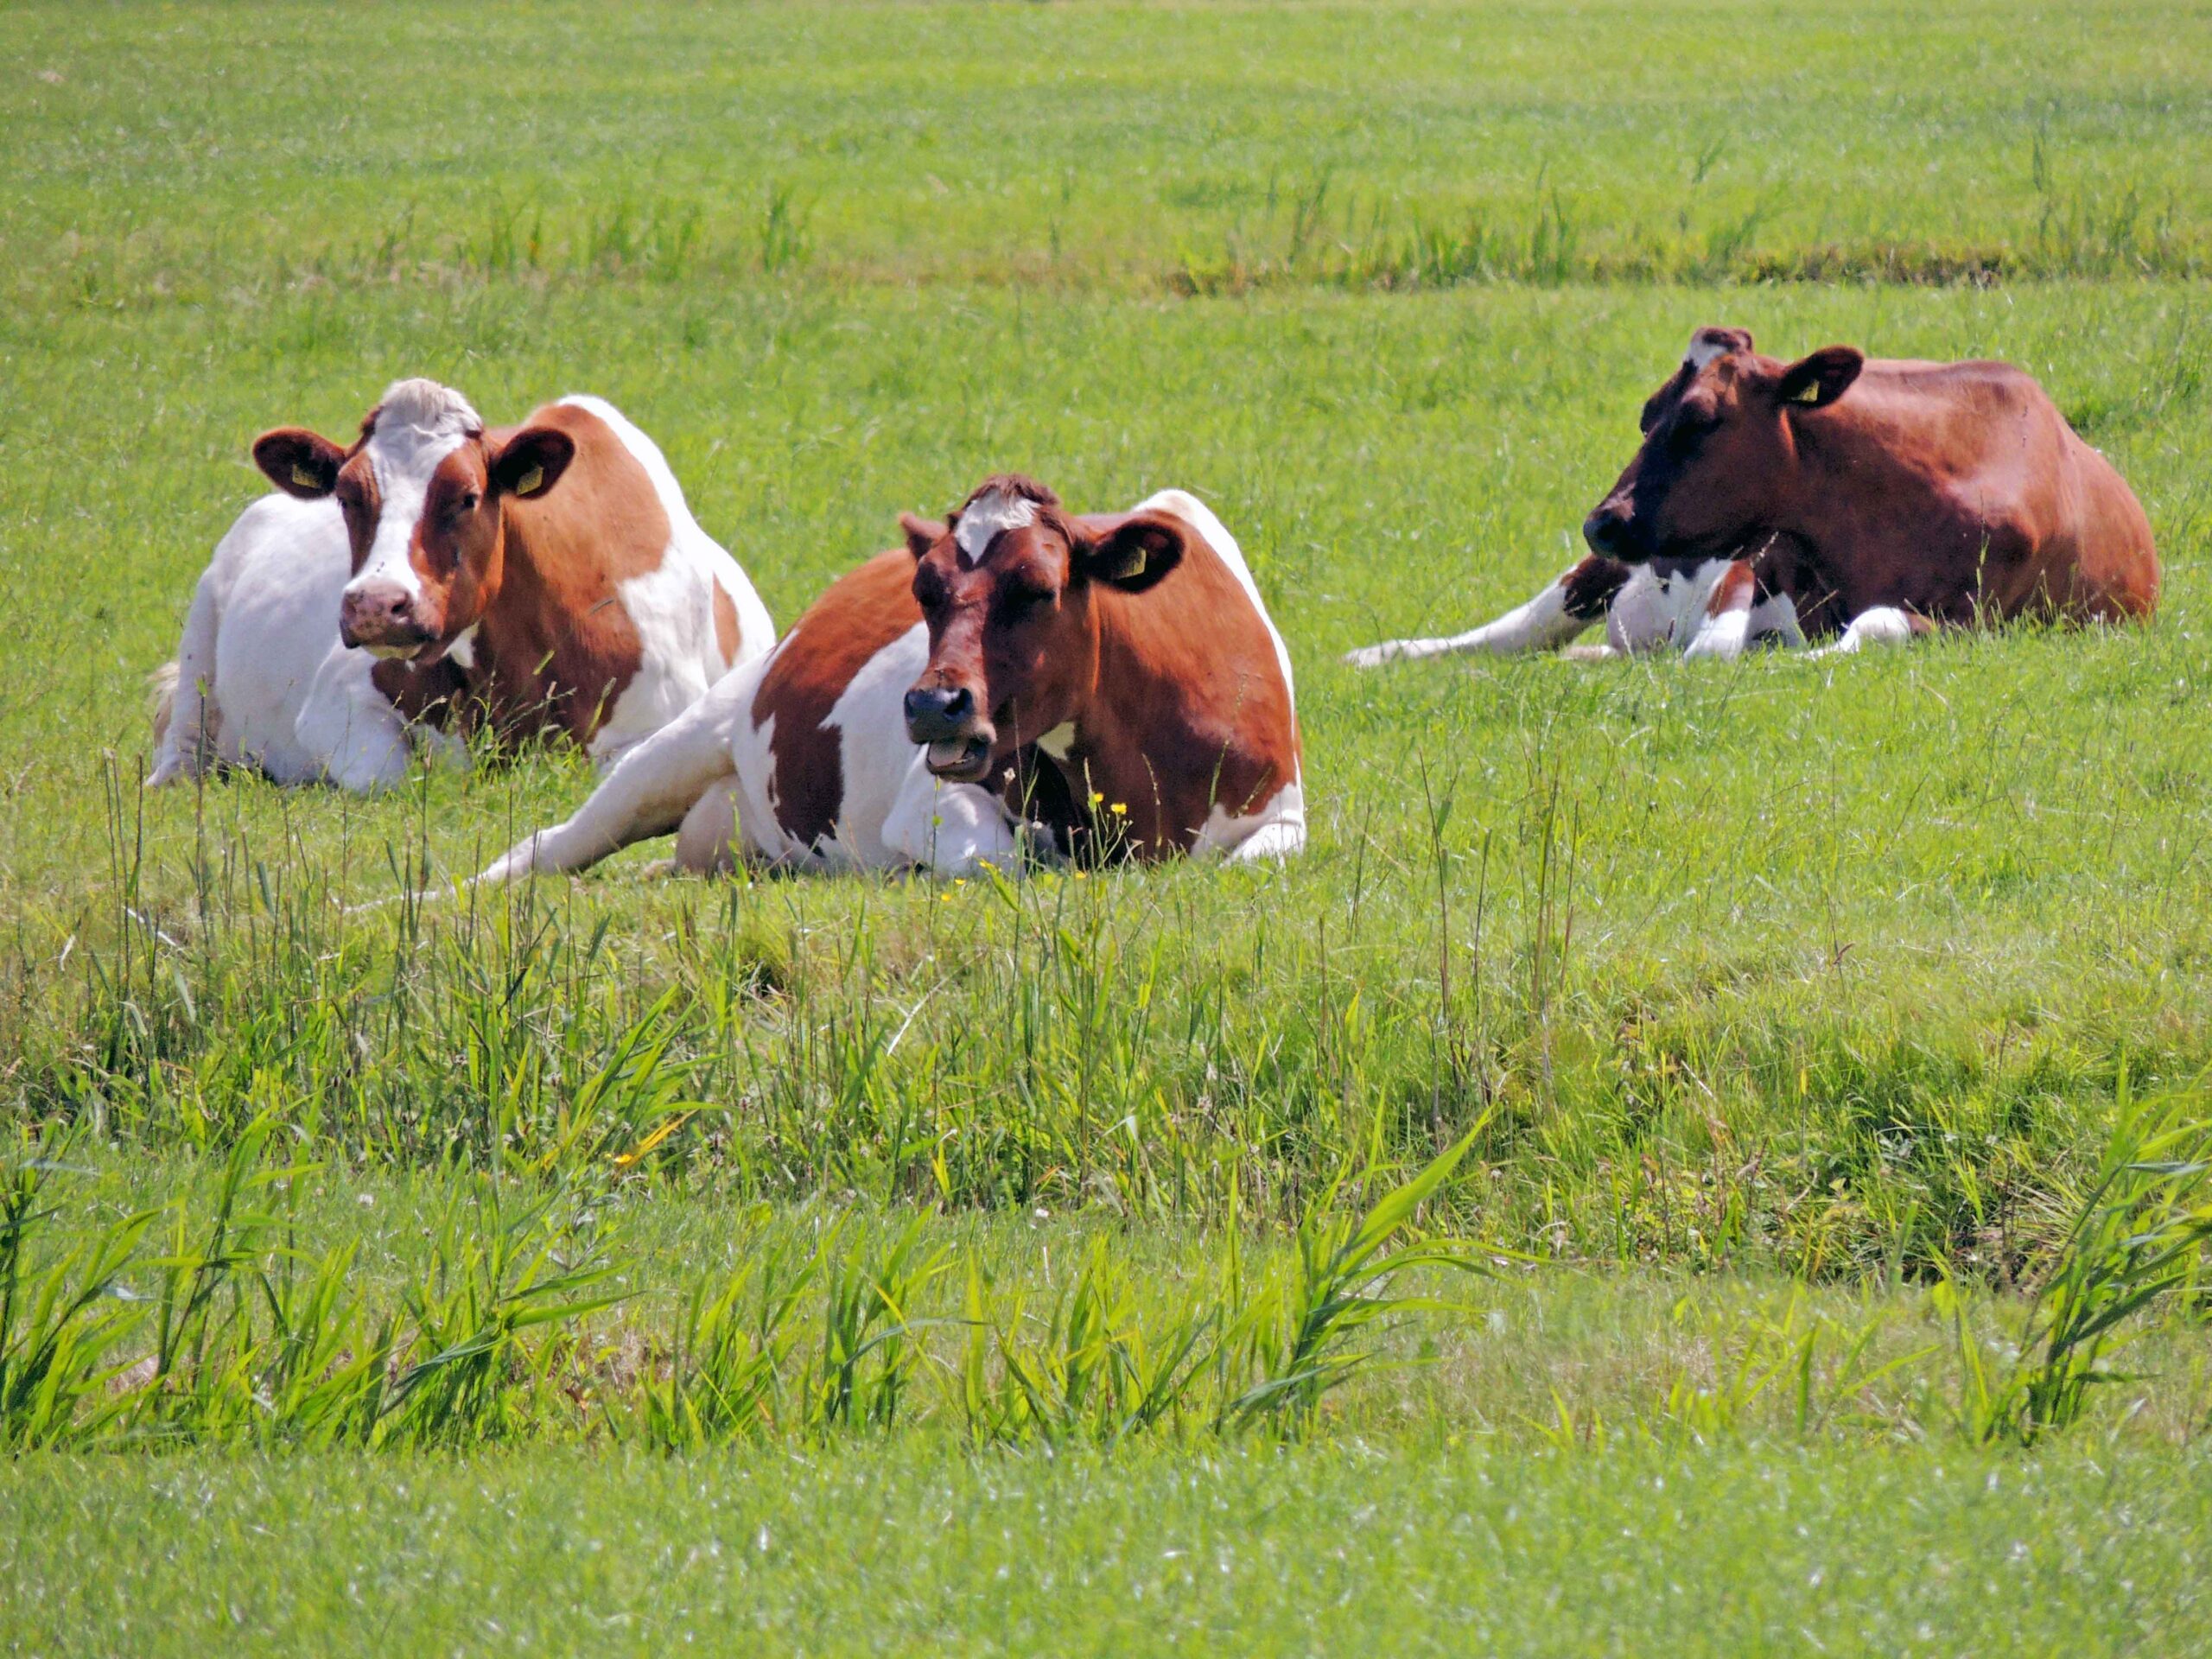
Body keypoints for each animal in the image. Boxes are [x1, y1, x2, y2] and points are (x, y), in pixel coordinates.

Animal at [144, 380, 769, 796]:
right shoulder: (333, 700)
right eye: (346, 495)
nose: (377, 606)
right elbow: (392, 776)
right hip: (200, 646)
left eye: (466, 497)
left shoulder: (655, 729)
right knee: (182, 750)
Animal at [462, 473, 1292, 889]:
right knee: (548, 845)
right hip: (674, 747)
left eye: (1038, 588)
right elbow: (1002, 857)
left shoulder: (1285, 816)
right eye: (925, 591)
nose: (931, 705)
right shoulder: (931, 799)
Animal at [1344, 327, 2158, 672]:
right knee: (1510, 633)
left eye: (1699, 420)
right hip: (1596, 579)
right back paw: (1385, 653)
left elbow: (1871, 628)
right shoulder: (1746, 559)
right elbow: (1709, 648)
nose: (1600, 522)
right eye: (1646, 413)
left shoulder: (1980, 620)